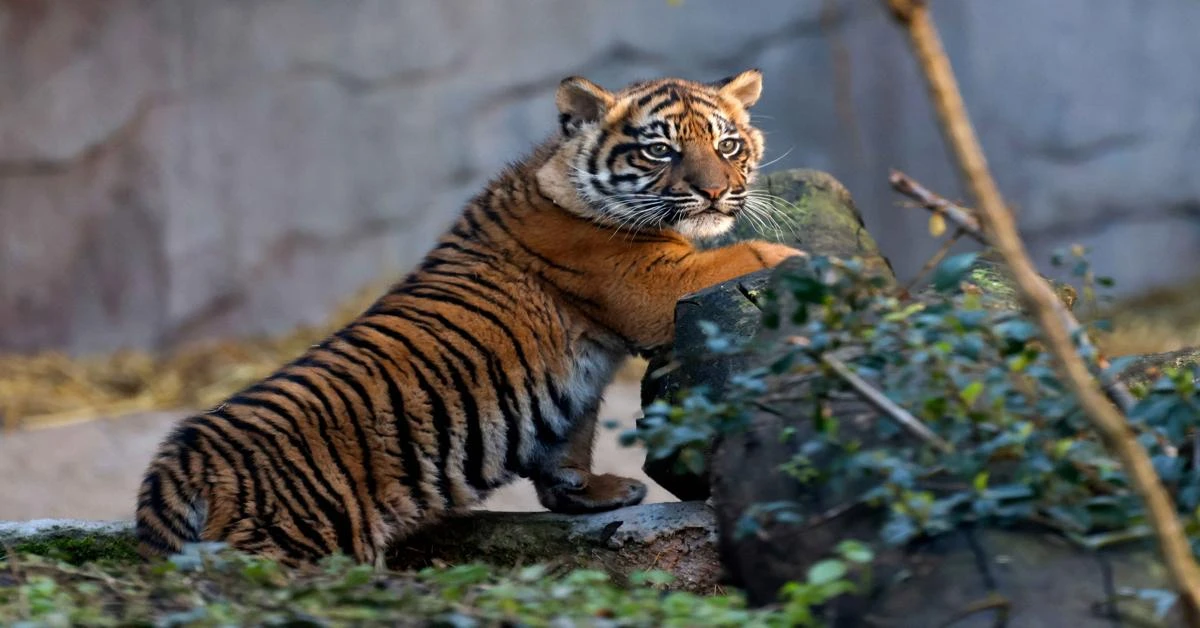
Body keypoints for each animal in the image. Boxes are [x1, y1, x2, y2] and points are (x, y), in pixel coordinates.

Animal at [135, 68, 806, 567]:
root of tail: (182, 460)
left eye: (727, 145)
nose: (717, 193)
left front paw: (596, 493)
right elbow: (744, 256)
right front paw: (797, 258)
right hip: (299, 543)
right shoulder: (653, 281)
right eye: (660, 149)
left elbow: (568, 444)